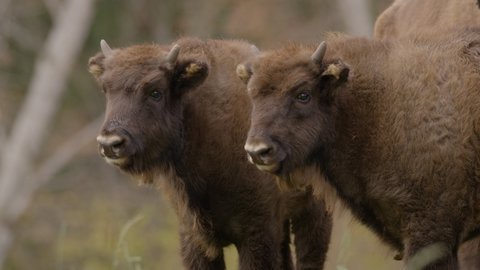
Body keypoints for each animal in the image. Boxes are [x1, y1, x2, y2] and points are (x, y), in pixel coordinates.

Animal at [88, 38, 332, 270]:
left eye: (156, 92)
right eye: (106, 89)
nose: (110, 143)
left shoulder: (257, 232)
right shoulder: (195, 237)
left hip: (313, 213)